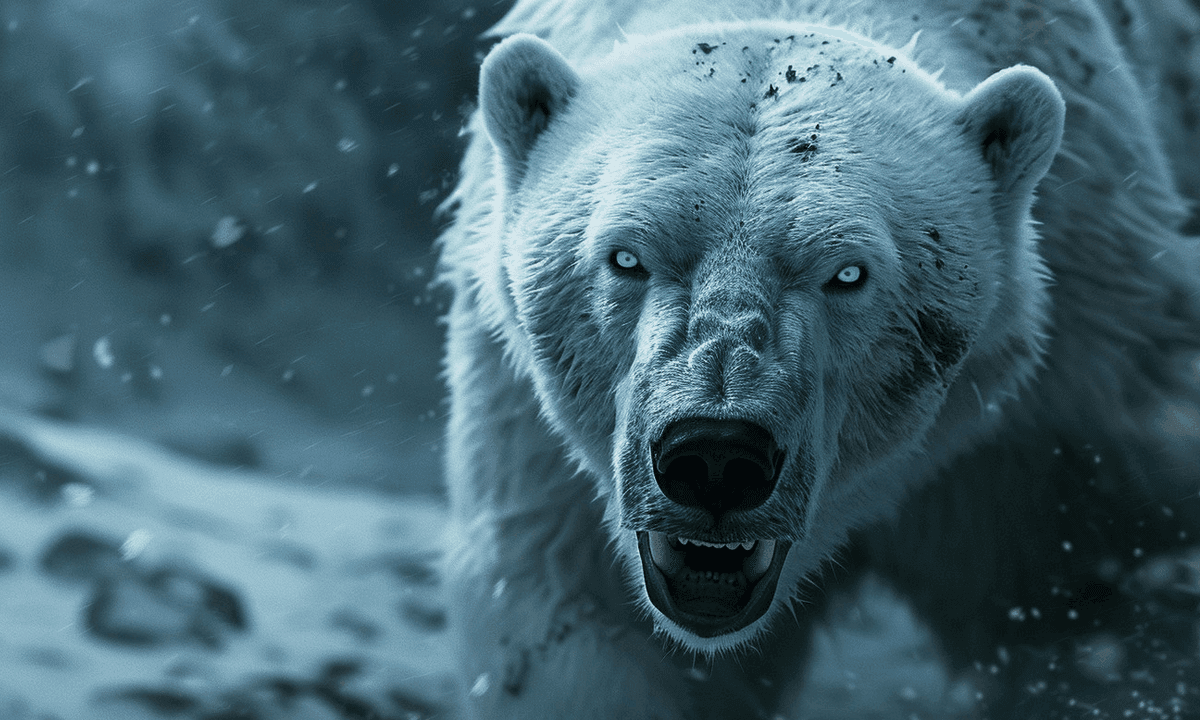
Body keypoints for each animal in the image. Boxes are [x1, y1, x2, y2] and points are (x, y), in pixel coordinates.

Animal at [436, 0, 1200, 717]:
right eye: (626, 257)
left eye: (847, 273)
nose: (715, 457)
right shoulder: (534, 437)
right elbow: (574, 627)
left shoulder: (1058, 408)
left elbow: (1094, 600)